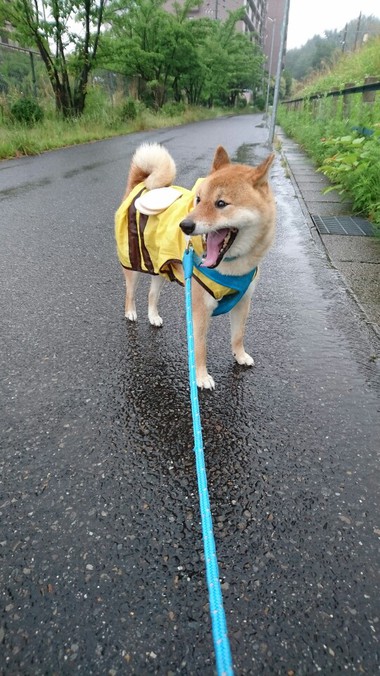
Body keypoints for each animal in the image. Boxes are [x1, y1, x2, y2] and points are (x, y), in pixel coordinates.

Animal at [114, 143, 274, 388]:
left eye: (221, 203)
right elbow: (199, 347)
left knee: (152, 294)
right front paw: (201, 377)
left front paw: (240, 355)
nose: (185, 225)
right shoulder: (199, 308)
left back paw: (153, 317)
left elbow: (238, 335)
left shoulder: (243, 301)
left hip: (159, 266)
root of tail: (140, 186)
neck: (233, 266)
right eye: (198, 199)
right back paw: (131, 312)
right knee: (130, 293)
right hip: (133, 263)